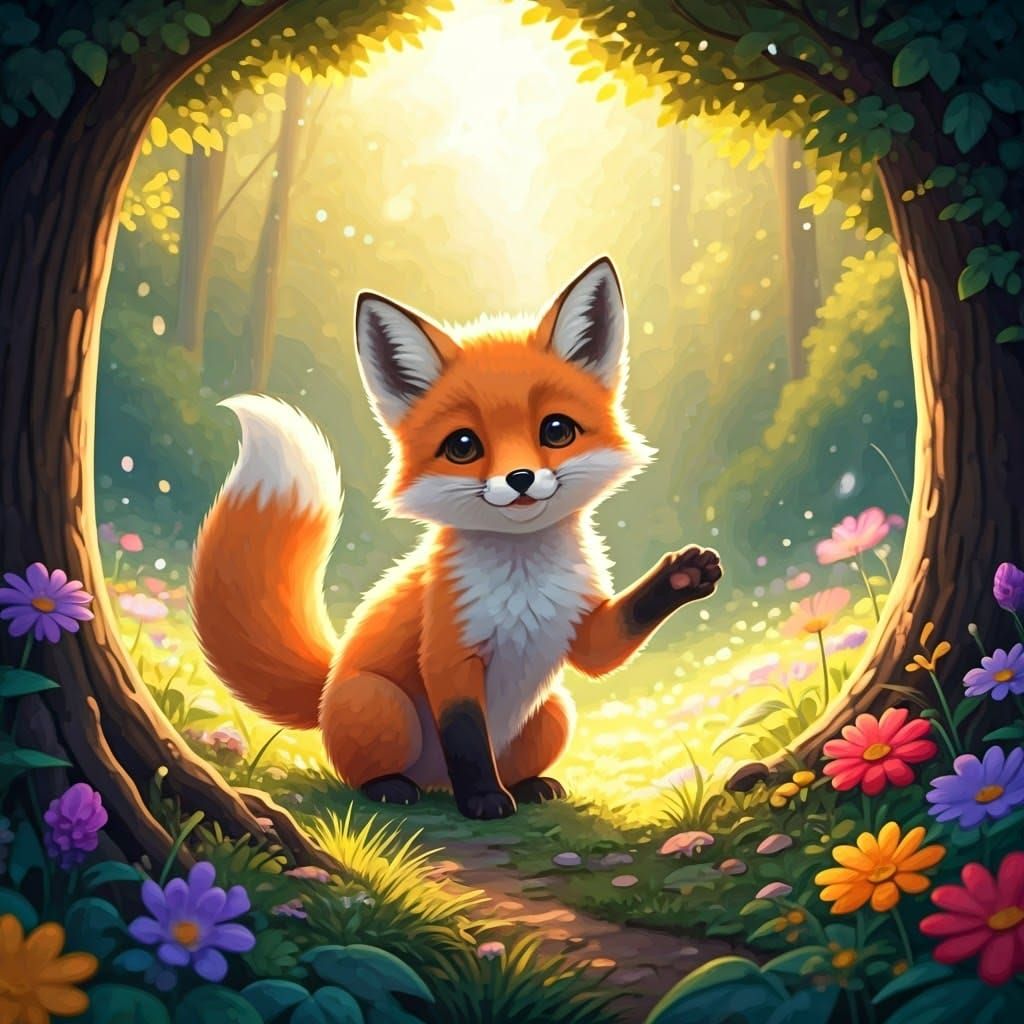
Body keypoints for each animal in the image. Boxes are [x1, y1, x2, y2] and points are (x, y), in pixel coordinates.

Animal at [191, 256, 722, 819]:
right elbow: (466, 738)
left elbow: (606, 649)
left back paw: (531, 786)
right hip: (382, 704)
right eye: (463, 446)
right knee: (366, 771)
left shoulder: (577, 626)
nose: (520, 479)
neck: (523, 580)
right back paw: (393, 787)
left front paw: (685, 576)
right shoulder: (449, 653)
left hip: (555, 710)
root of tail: (329, 679)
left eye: (556, 431)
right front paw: (485, 799)